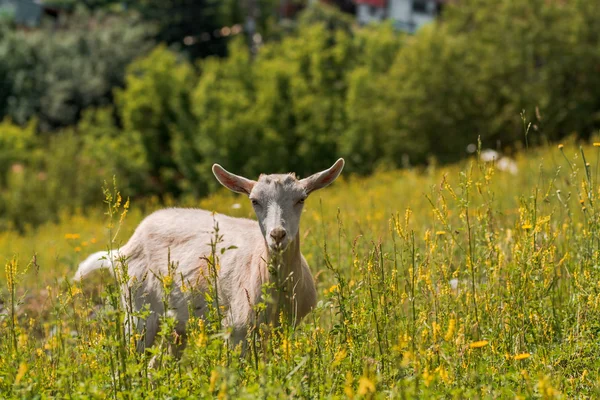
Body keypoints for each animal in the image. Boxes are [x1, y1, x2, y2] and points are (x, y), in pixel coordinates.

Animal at [72, 159, 344, 354]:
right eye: (254, 200)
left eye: (301, 199)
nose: (277, 235)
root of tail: (121, 252)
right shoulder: (235, 329)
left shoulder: (283, 329)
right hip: (137, 308)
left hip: (176, 326)